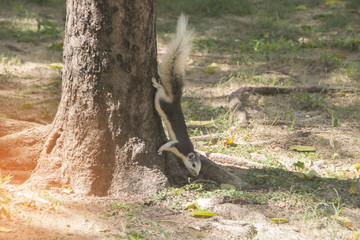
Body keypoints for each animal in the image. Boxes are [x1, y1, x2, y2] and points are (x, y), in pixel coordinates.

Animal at [152, 14, 201, 176]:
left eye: (199, 167)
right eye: (193, 165)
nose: (196, 175)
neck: (186, 152)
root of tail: (174, 99)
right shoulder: (177, 145)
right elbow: (168, 144)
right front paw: (160, 150)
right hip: (161, 101)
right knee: (160, 90)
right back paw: (155, 82)